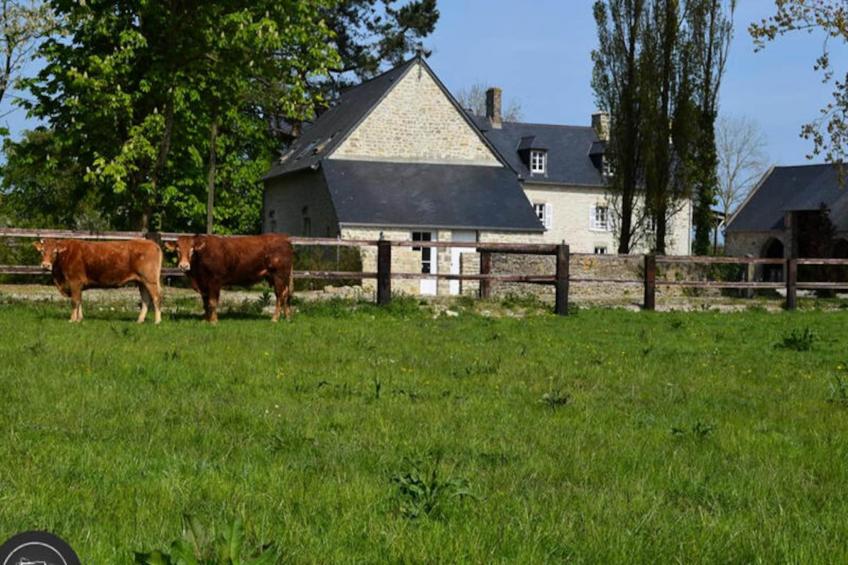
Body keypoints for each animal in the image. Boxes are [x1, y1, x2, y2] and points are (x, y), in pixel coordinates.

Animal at [33, 238, 163, 324]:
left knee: (156, 298)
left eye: (55, 252)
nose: (45, 265)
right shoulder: (78, 285)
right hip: (142, 282)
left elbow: (75, 301)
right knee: (146, 299)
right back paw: (139, 320)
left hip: (150, 280)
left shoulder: (75, 281)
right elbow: (79, 300)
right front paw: (79, 319)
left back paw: (157, 321)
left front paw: (72, 319)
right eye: (42, 251)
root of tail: (151, 242)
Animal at [166, 234, 294, 322]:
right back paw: (287, 317)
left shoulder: (215, 281)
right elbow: (205, 303)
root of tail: (285, 239)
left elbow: (212, 302)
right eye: (177, 250)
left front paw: (213, 321)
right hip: (277, 277)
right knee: (286, 294)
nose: (184, 265)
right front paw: (205, 320)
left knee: (280, 295)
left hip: (279, 275)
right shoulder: (203, 285)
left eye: (192, 250)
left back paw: (275, 318)